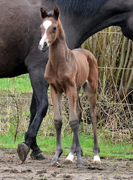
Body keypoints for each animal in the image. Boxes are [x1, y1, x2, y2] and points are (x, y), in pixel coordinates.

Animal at [38, 6, 100, 167]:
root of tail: (88, 52)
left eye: (54, 28)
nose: (42, 45)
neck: (59, 62)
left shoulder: (70, 88)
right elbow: (58, 120)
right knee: (78, 113)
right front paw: (57, 156)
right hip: (77, 89)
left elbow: (72, 121)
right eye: (41, 27)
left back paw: (96, 156)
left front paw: (80, 159)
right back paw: (70, 155)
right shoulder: (55, 89)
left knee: (92, 115)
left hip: (90, 88)